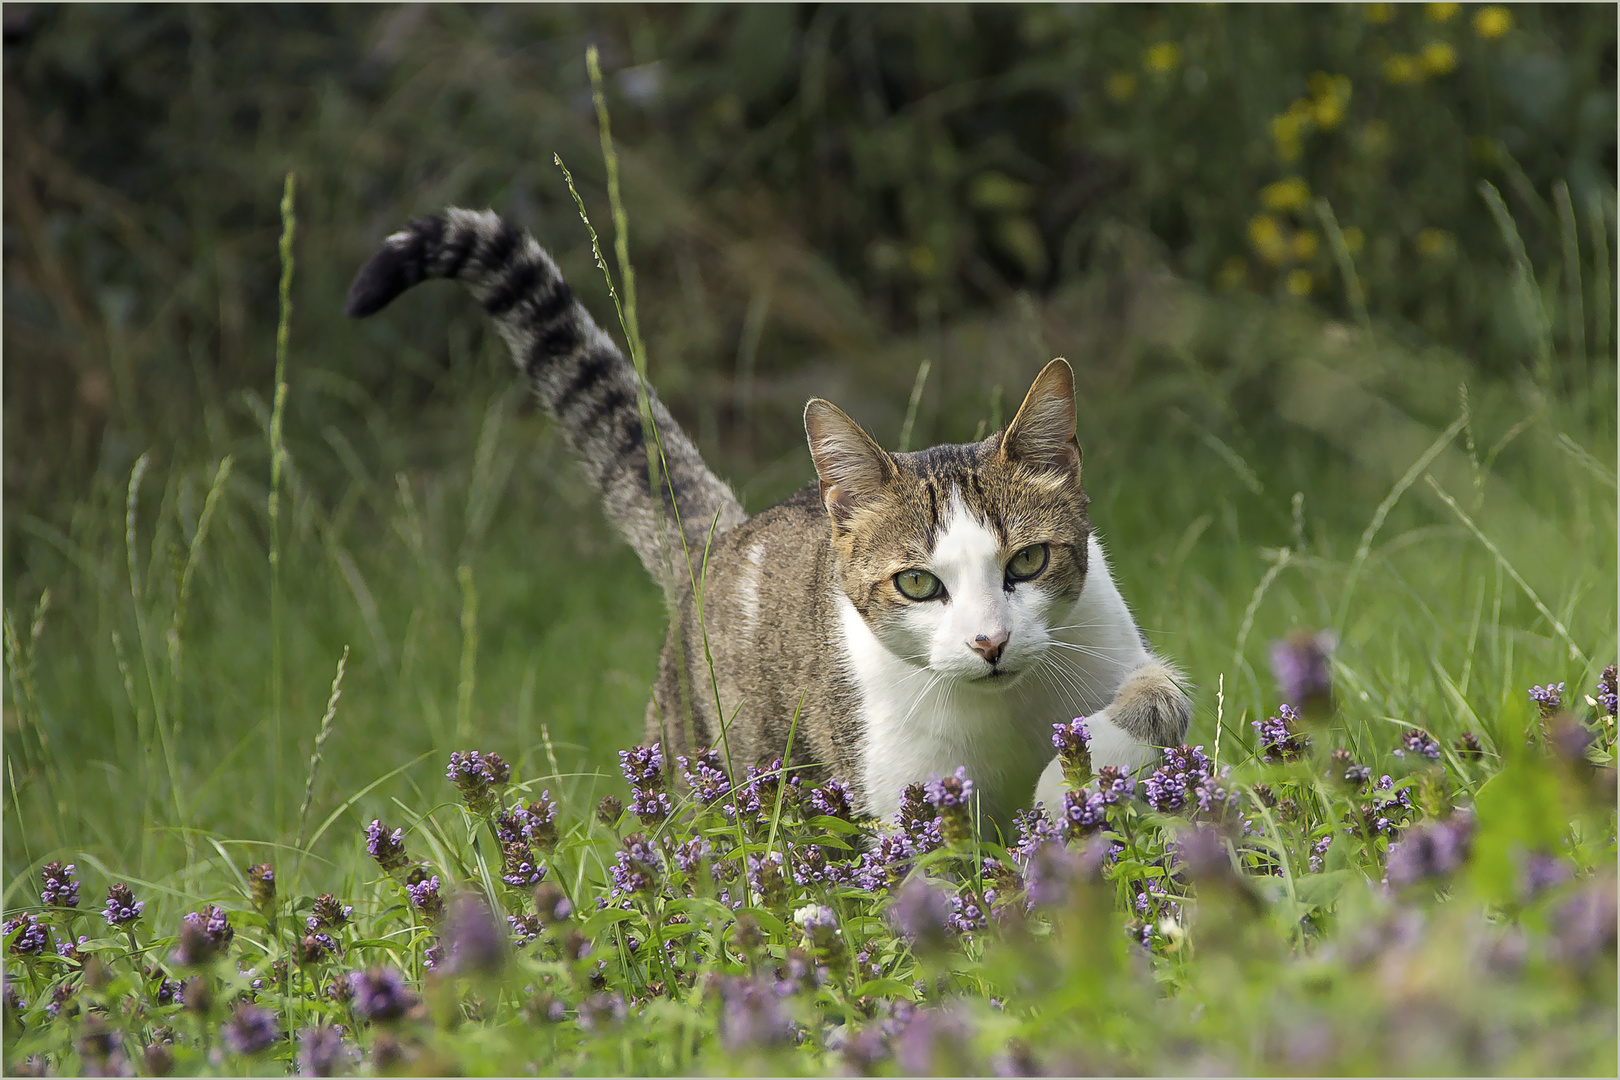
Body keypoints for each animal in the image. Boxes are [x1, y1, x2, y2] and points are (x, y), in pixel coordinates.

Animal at [348, 207, 1192, 835]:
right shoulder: (901, 796)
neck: (1002, 713)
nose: (991, 642)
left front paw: (1066, 785)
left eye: (1027, 563)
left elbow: (1154, 705)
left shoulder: (1121, 658)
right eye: (919, 584)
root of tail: (722, 537)